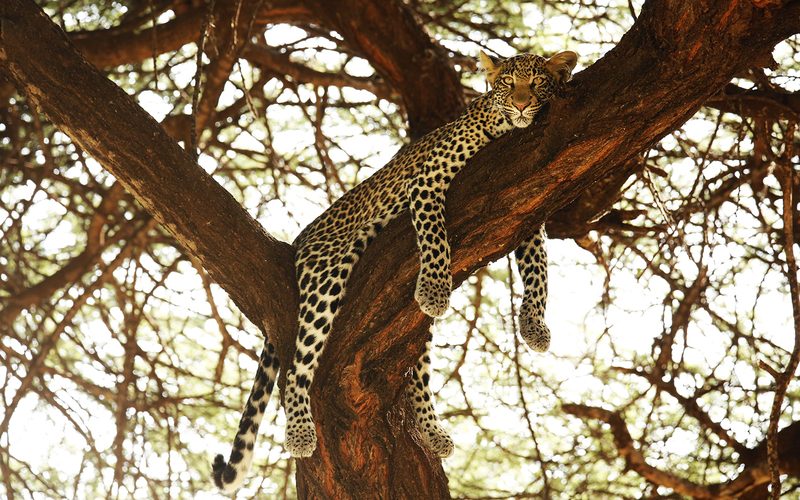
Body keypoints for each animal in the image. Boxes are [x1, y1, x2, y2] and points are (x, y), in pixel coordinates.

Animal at [212, 48, 576, 490]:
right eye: (508, 83)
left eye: (537, 83)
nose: (522, 104)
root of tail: (300, 238)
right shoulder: (427, 181)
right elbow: (435, 236)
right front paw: (435, 287)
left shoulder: (528, 210)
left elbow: (539, 268)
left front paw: (534, 326)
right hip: (326, 275)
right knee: (297, 368)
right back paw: (300, 431)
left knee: (417, 370)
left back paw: (432, 432)